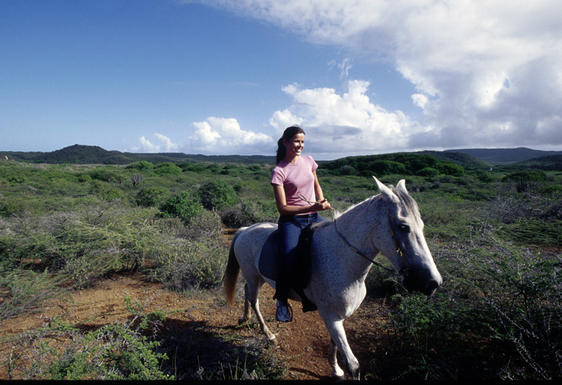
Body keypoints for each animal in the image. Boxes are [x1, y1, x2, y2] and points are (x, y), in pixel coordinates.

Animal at [223, 178, 442, 378]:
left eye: (422, 225)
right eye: (403, 226)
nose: (433, 282)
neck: (342, 258)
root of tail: (244, 230)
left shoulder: (338, 316)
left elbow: (335, 344)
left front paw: (335, 369)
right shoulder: (330, 316)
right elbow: (353, 365)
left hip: (257, 277)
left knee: (247, 292)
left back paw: (245, 318)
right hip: (253, 275)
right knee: (254, 300)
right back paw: (268, 334)